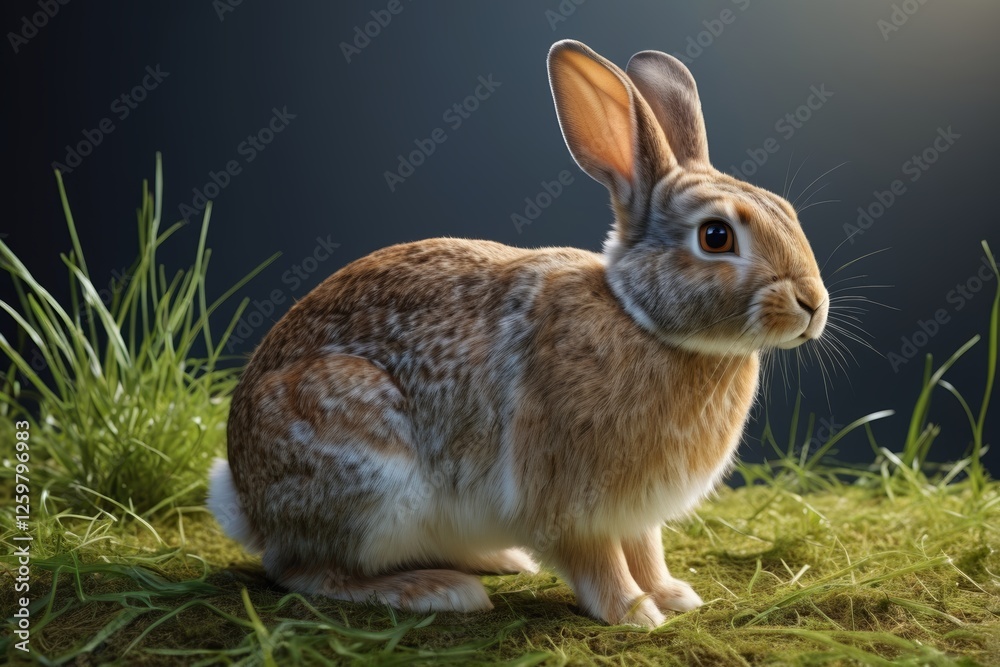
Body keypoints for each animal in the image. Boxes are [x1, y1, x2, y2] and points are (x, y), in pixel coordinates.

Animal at [207, 39, 828, 628]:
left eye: (787, 211)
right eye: (716, 236)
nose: (813, 304)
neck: (642, 319)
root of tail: (246, 501)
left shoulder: (635, 513)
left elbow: (646, 550)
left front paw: (673, 595)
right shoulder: (569, 500)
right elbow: (598, 559)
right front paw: (632, 612)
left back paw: (499, 560)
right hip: (362, 464)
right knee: (305, 571)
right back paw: (436, 590)